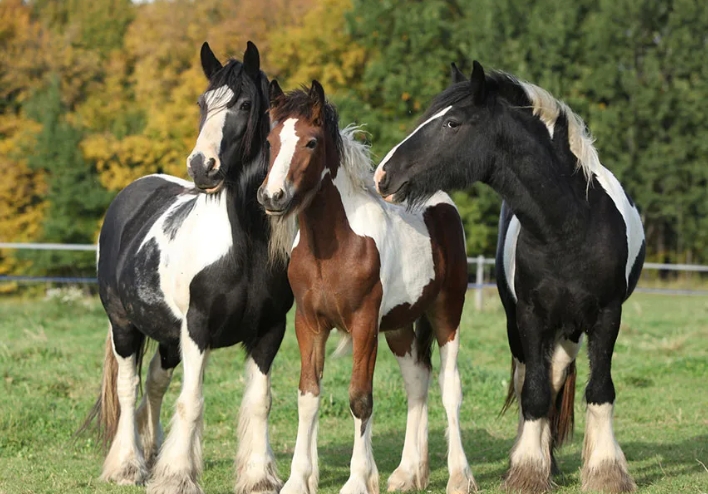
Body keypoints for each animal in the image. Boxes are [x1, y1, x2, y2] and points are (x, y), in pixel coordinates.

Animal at [80, 41, 294, 494]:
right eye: (202, 102)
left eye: (245, 104)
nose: (201, 166)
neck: (244, 250)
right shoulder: (197, 330)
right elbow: (192, 401)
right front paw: (177, 475)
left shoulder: (270, 331)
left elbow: (259, 402)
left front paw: (258, 476)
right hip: (124, 327)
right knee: (128, 389)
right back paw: (128, 466)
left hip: (166, 336)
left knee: (155, 385)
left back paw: (152, 454)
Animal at [258, 79, 478, 494]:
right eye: (270, 139)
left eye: (311, 142)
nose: (271, 196)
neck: (333, 246)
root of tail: (441, 201)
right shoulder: (309, 324)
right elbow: (308, 396)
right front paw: (297, 480)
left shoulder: (363, 324)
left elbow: (360, 399)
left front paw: (358, 480)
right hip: (399, 326)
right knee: (416, 382)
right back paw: (409, 473)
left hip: (447, 313)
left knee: (450, 387)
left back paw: (460, 476)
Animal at [376, 62, 648, 494]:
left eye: (452, 123)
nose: (383, 176)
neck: (570, 227)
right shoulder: (530, 317)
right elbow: (534, 393)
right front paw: (528, 470)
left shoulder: (607, 316)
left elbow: (599, 389)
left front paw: (606, 471)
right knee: (535, 379)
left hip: (572, 328)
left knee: (558, 374)